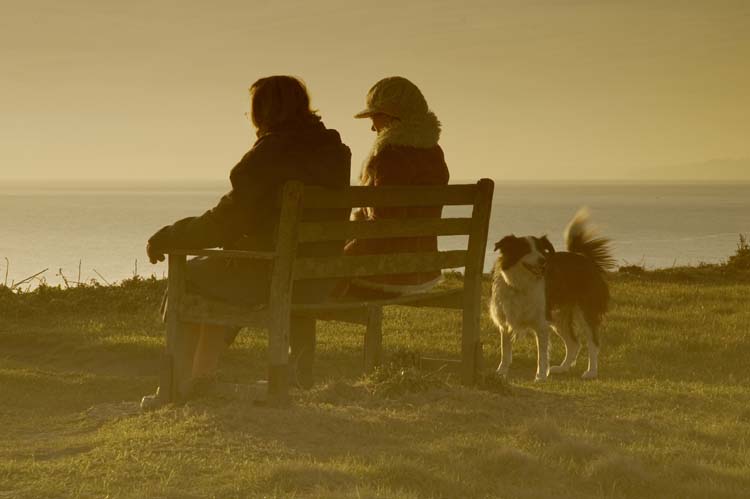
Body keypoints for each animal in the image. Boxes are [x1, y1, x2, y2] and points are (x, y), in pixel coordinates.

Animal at [494, 209, 616, 380]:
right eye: (525, 250)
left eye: (541, 250)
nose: (543, 261)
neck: (522, 283)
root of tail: (585, 258)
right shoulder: (506, 320)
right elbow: (505, 351)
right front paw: (501, 372)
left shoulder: (541, 323)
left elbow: (542, 354)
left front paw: (540, 376)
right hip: (559, 316)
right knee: (574, 343)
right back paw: (562, 368)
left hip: (585, 311)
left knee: (593, 342)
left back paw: (591, 372)